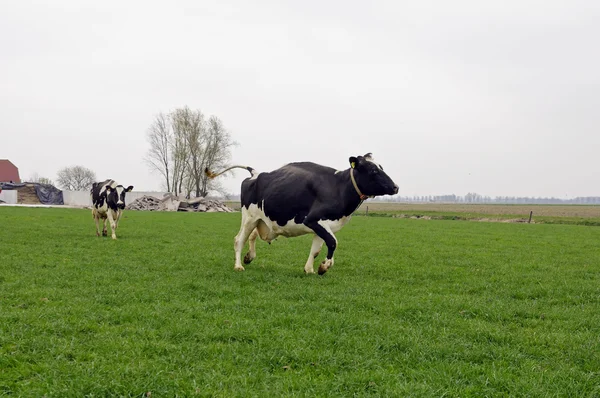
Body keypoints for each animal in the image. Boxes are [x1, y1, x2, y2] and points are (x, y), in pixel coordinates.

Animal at [206, 152, 398, 274]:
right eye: (374, 170)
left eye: (381, 167)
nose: (396, 187)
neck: (338, 187)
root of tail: (256, 173)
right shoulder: (312, 220)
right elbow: (333, 242)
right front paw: (324, 266)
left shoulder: (324, 226)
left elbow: (316, 249)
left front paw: (310, 269)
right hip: (249, 217)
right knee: (239, 239)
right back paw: (239, 265)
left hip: (262, 221)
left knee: (252, 236)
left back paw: (249, 257)